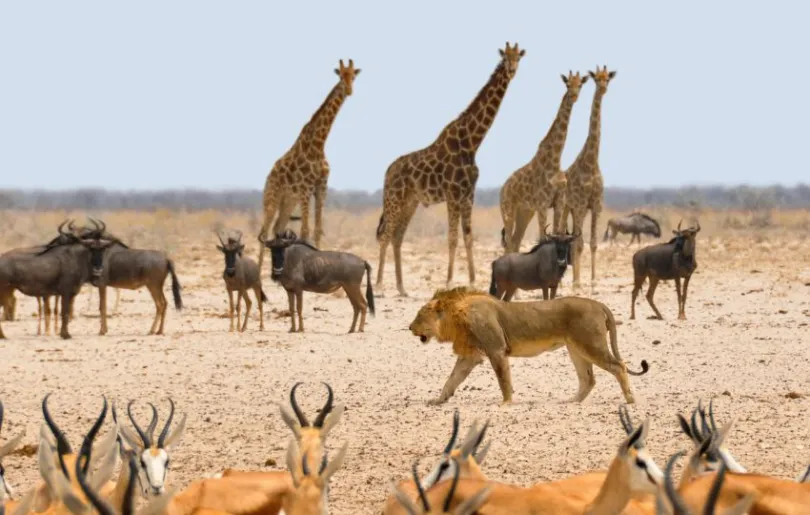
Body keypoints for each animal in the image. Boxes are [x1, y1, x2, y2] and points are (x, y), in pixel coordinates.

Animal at [258, 60, 362, 268]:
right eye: (341, 76)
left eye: (353, 76)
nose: (349, 90)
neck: (319, 144)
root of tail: (268, 176)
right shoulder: (305, 188)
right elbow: (305, 231)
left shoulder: (321, 187)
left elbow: (317, 229)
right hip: (272, 197)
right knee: (263, 233)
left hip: (288, 201)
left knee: (277, 228)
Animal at [374, 43, 524, 298]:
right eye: (505, 59)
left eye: (518, 58)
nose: (512, 70)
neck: (472, 143)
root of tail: (387, 172)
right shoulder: (453, 194)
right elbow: (453, 238)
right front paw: (449, 282)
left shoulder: (468, 194)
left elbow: (469, 236)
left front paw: (472, 282)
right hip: (393, 198)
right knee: (385, 235)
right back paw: (380, 286)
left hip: (410, 202)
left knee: (397, 237)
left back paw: (402, 288)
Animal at [408, 288, 648, 406]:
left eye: (419, 315)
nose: (409, 327)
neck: (456, 317)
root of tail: (598, 304)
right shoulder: (470, 356)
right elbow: (452, 379)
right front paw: (439, 400)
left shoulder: (496, 349)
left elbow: (503, 379)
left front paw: (506, 403)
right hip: (576, 349)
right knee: (588, 379)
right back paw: (572, 401)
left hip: (591, 344)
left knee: (619, 366)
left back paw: (629, 399)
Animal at [496, 71, 584, 254]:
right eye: (567, 84)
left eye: (580, 84)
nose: (573, 96)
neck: (556, 160)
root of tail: (503, 189)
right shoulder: (543, 204)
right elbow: (543, 238)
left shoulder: (559, 202)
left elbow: (558, 233)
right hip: (508, 209)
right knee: (509, 241)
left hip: (525, 211)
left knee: (516, 241)